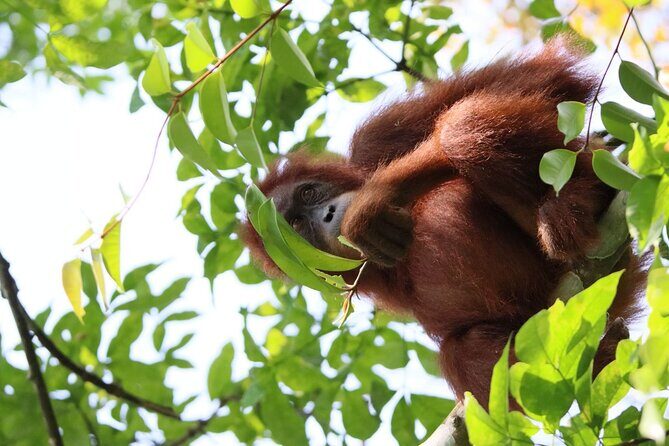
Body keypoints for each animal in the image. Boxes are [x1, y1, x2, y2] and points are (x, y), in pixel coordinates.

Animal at [242, 39, 645, 404]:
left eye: (309, 193)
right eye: (297, 227)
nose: (326, 215)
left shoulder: (374, 140)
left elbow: (549, 80)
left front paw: (369, 207)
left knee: (461, 127)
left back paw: (578, 201)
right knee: (459, 352)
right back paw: (601, 356)